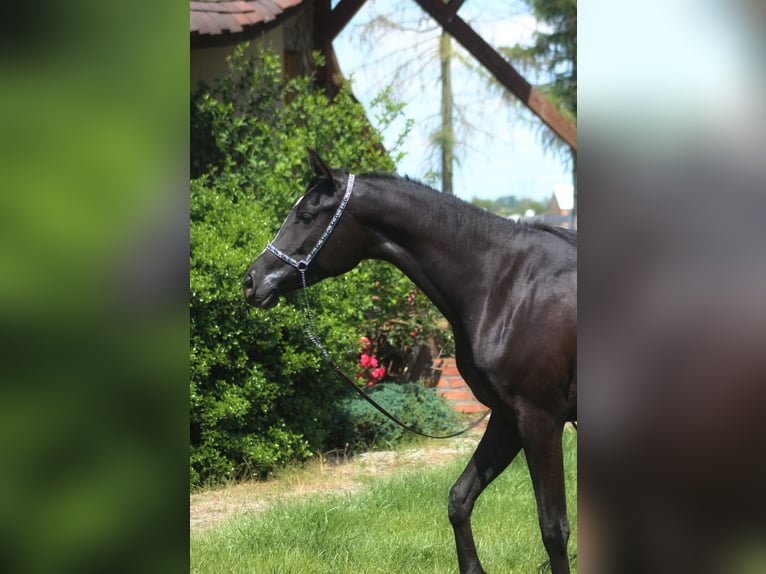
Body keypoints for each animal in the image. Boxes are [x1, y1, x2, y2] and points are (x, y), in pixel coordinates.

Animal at [243, 152, 580, 574]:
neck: (510, 287)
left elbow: (553, 528)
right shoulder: (506, 417)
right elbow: (459, 499)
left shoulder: (540, 418)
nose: (251, 281)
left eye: (305, 215)